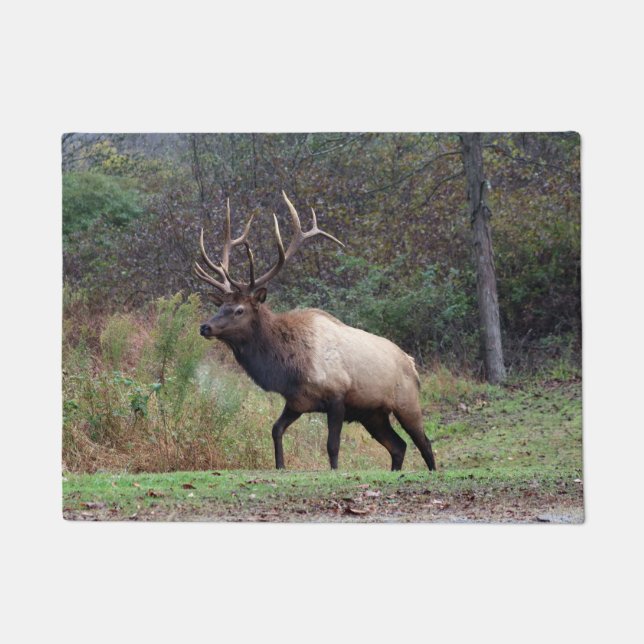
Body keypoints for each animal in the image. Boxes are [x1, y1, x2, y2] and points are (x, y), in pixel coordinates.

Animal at [194, 192, 436, 472]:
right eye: (221, 305)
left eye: (239, 310)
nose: (205, 326)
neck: (289, 367)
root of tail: (411, 363)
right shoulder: (297, 401)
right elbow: (276, 430)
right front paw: (280, 467)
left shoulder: (337, 396)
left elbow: (332, 446)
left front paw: (334, 471)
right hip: (373, 414)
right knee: (399, 446)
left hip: (407, 402)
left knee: (424, 443)